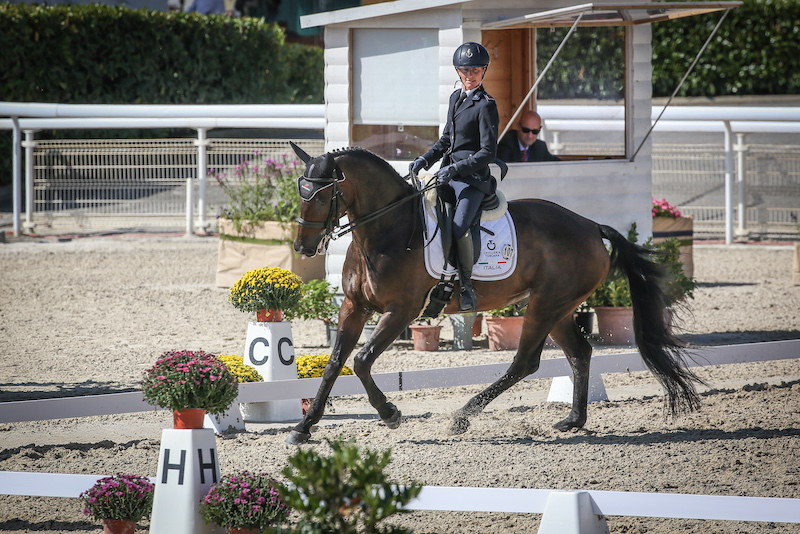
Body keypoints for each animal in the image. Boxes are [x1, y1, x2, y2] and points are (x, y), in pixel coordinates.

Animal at [288, 143, 700, 448]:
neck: (388, 227)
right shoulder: (353, 307)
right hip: (558, 307)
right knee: (579, 353)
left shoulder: (401, 311)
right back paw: (572, 420)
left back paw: (461, 418)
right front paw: (303, 428)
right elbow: (334, 364)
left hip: (544, 306)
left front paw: (390, 414)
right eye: (300, 193)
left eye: (321, 198)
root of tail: (590, 226)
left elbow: (360, 361)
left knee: (524, 363)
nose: (303, 248)